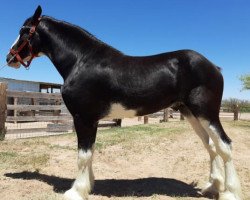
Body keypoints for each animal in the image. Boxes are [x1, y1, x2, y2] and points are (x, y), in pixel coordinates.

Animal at [6, 5, 242, 200]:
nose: (9, 58)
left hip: (206, 113)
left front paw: (76, 192)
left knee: (225, 145)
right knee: (210, 146)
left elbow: (83, 155)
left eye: (24, 30)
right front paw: (89, 186)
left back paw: (230, 192)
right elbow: (90, 152)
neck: (82, 61)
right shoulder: (92, 120)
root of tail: (213, 67)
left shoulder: (83, 118)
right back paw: (212, 187)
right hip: (191, 114)